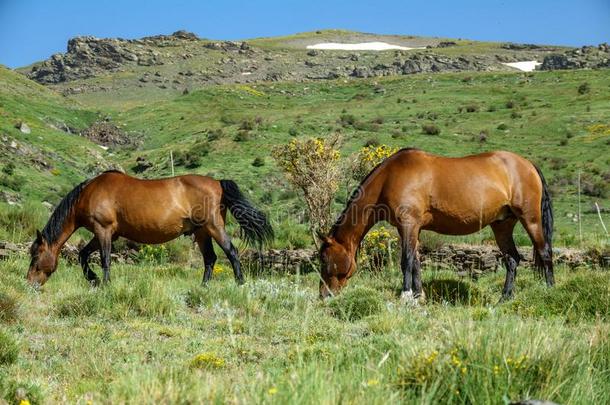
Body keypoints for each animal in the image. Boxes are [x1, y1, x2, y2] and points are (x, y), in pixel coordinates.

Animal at [27, 170, 272, 288]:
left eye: (36, 255)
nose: (29, 283)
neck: (89, 193)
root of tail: (218, 183)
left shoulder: (103, 230)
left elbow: (104, 259)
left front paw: (104, 284)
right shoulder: (105, 233)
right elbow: (83, 254)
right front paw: (93, 279)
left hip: (213, 227)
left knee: (231, 252)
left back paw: (240, 283)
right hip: (201, 232)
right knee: (210, 259)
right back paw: (203, 287)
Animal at [318, 148, 552, 300]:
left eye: (324, 259)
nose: (323, 295)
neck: (390, 177)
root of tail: (528, 165)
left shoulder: (408, 224)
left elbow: (406, 260)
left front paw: (406, 296)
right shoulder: (412, 229)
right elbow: (416, 260)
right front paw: (418, 295)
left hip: (530, 219)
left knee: (545, 252)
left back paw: (550, 290)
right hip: (502, 225)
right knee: (512, 259)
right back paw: (505, 298)